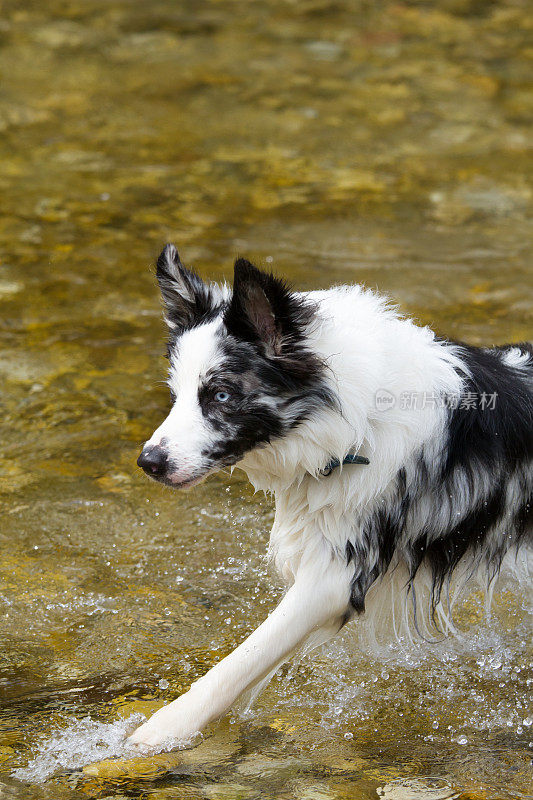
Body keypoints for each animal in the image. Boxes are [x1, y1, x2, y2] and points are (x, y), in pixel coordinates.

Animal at [127, 244, 528, 752]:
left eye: (219, 395)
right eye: (175, 395)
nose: (148, 462)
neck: (355, 426)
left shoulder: (334, 576)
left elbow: (241, 660)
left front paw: (162, 729)